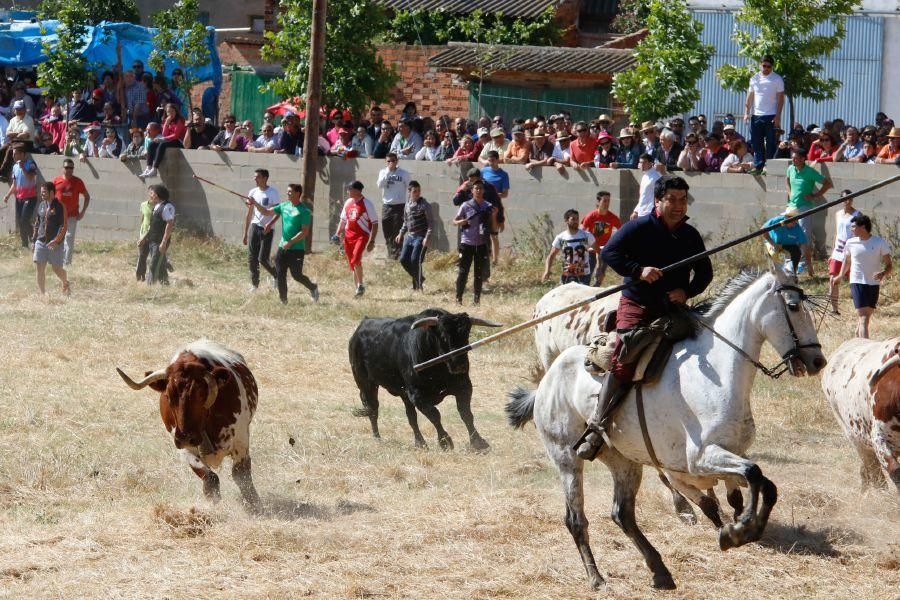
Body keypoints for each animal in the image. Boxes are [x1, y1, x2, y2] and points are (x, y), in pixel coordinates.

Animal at [116, 340, 260, 508]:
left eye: (201, 395)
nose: (185, 437)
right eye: (168, 396)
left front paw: (255, 505)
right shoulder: (185, 448)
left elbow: (242, 476)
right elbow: (210, 478)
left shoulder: (241, 442)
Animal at [348, 310, 500, 450]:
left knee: (411, 417)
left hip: (403, 395)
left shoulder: (464, 387)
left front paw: (478, 443)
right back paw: (377, 438)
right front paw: (445, 441)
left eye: (466, 334)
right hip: (366, 383)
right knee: (373, 409)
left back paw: (420, 443)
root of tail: (361, 326)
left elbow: (466, 414)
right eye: (443, 336)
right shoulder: (417, 395)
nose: (460, 365)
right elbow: (434, 415)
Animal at [502, 268, 828, 592]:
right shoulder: (700, 459)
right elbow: (751, 476)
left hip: (624, 463)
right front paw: (736, 531)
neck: (718, 372)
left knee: (622, 514)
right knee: (576, 519)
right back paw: (597, 578)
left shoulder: (731, 453)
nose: (817, 361)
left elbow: (760, 486)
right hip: (567, 460)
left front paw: (741, 527)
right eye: (793, 307)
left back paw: (660, 571)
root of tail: (546, 382)